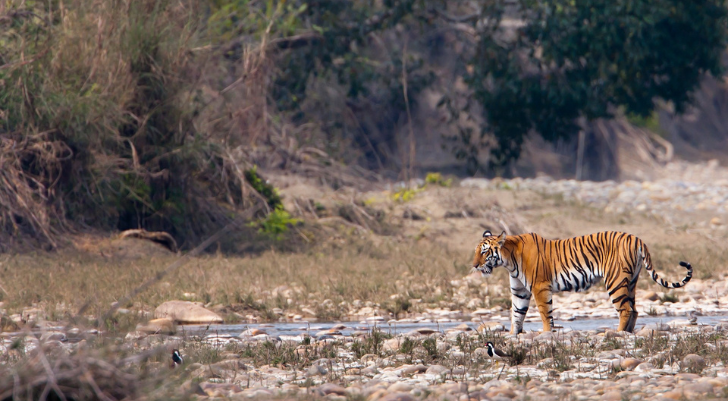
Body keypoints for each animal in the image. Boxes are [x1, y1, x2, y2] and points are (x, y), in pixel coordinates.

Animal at [472, 230, 693, 333]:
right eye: (476, 251)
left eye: (484, 252)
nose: (474, 266)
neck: (509, 261)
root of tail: (637, 239)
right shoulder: (520, 291)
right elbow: (516, 314)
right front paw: (514, 335)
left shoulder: (540, 287)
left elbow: (545, 314)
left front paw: (546, 334)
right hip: (631, 282)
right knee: (635, 309)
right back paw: (628, 333)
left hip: (615, 281)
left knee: (625, 309)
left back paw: (617, 333)